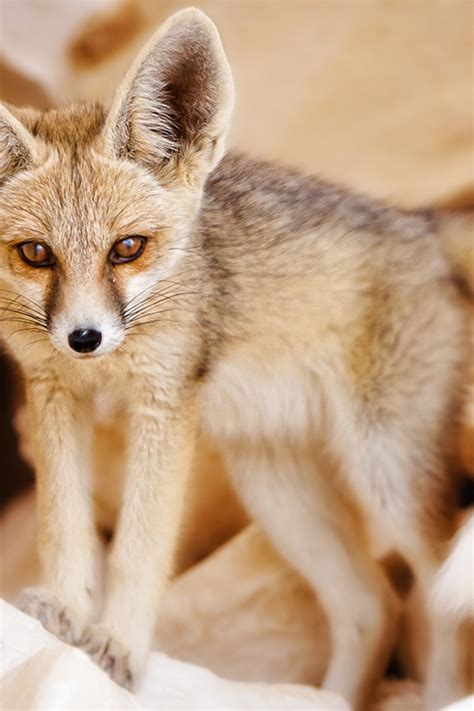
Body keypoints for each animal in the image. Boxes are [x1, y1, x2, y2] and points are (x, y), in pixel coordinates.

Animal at [0, 8, 472, 710]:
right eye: (35, 254)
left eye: (127, 248)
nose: (85, 338)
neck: (107, 368)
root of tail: (421, 223)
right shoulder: (54, 392)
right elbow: (63, 524)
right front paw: (63, 611)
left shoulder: (163, 407)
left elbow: (139, 548)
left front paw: (118, 648)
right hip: (276, 487)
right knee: (373, 605)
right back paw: (327, 700)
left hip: (386, 474)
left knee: (434, 599)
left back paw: (440, 694)